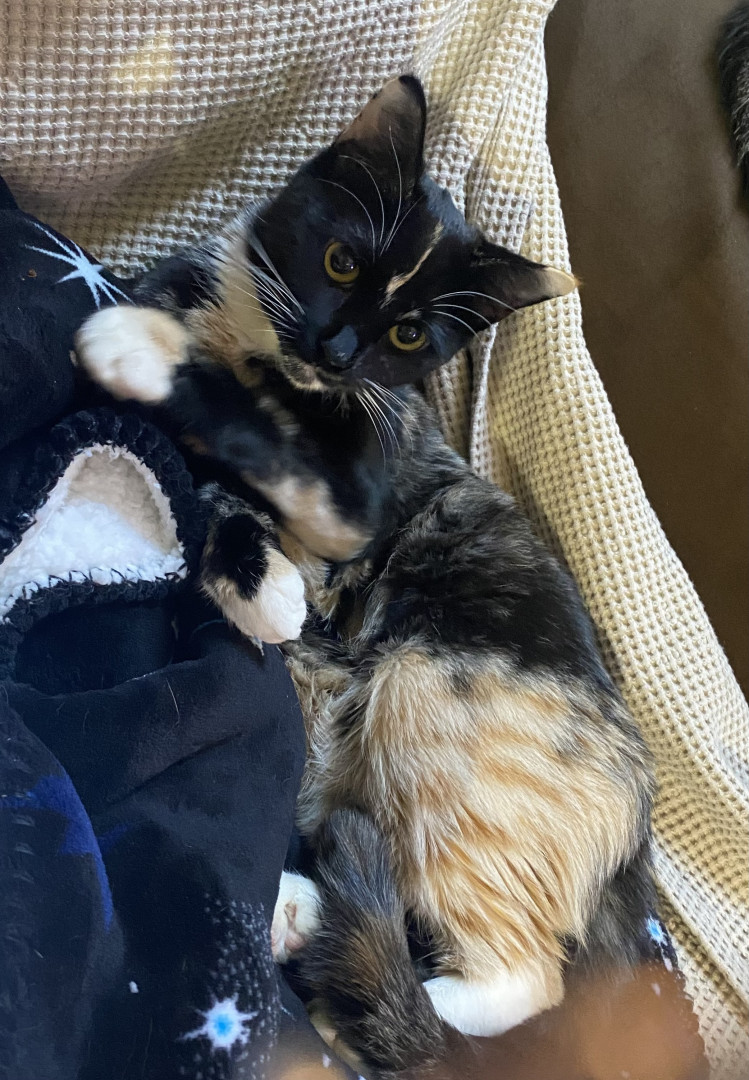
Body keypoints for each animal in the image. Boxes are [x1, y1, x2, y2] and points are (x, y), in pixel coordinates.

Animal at [76, 76, 656, 1076]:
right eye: (341, 261)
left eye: (410, 333)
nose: (338, 351)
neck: (265, 357)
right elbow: (207, 480)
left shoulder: (348, 504)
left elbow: (260, 448)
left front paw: (146, 355)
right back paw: (301, 916)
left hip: (432, 691)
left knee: (521, 982)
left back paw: (366, 998)